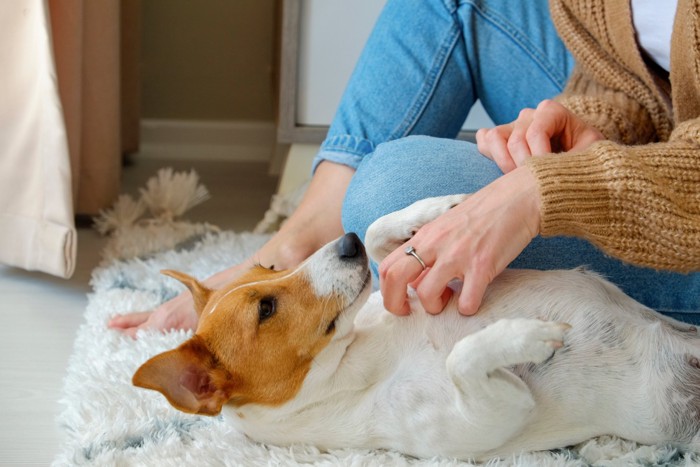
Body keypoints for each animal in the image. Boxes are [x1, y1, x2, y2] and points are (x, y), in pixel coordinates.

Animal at [131, 194, 700, 460]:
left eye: (269, 267)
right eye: (265, 309)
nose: (346, 243)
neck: (361, 356)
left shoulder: (398, 290)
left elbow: (385, 236)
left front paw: (431, 214)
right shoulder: (492, 415)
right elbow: (464, 357)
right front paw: (526, 336)